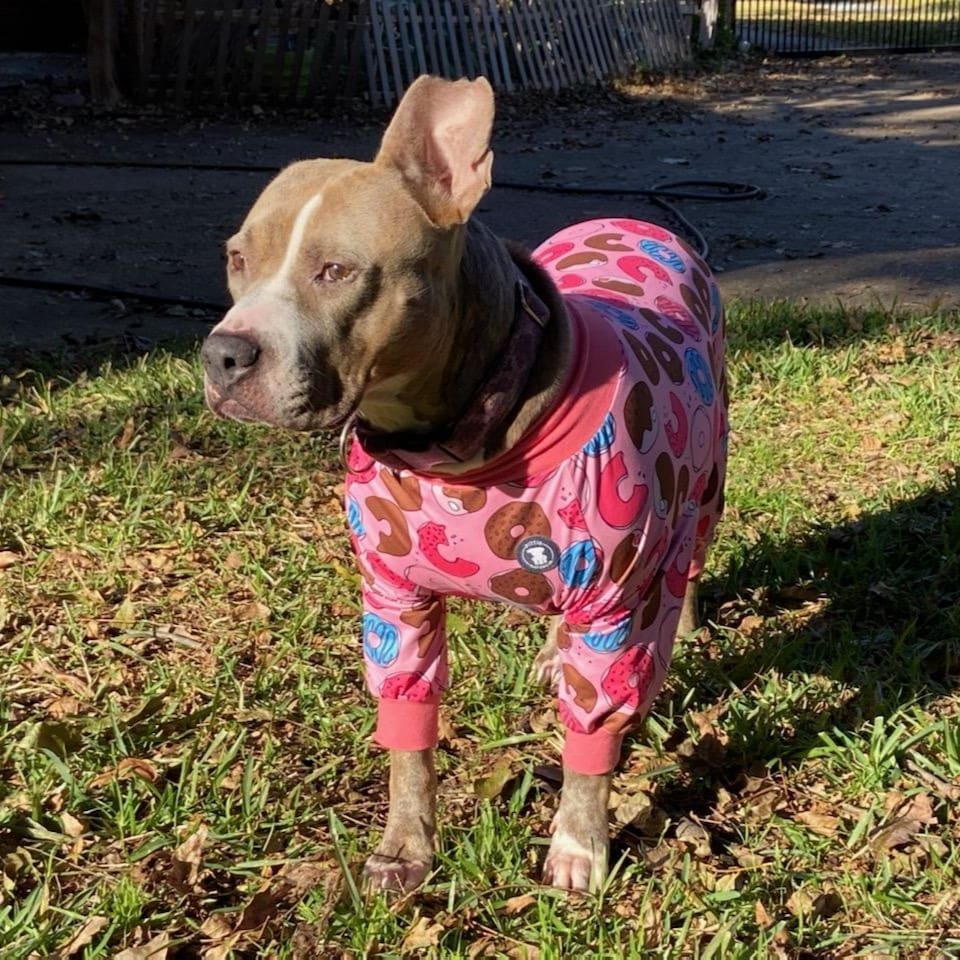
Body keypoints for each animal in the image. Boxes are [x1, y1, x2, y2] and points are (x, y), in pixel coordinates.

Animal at [202, 73, 728, 892]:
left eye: (336, 271)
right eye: (235, 258)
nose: (223, 355)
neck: (456, 449)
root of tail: (639, 217)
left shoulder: (615, 603)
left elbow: (591, 742)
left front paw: (579, 845)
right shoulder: (395, 601)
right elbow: (409, 738)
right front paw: (406, 846)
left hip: (703, 482)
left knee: (691, 557)